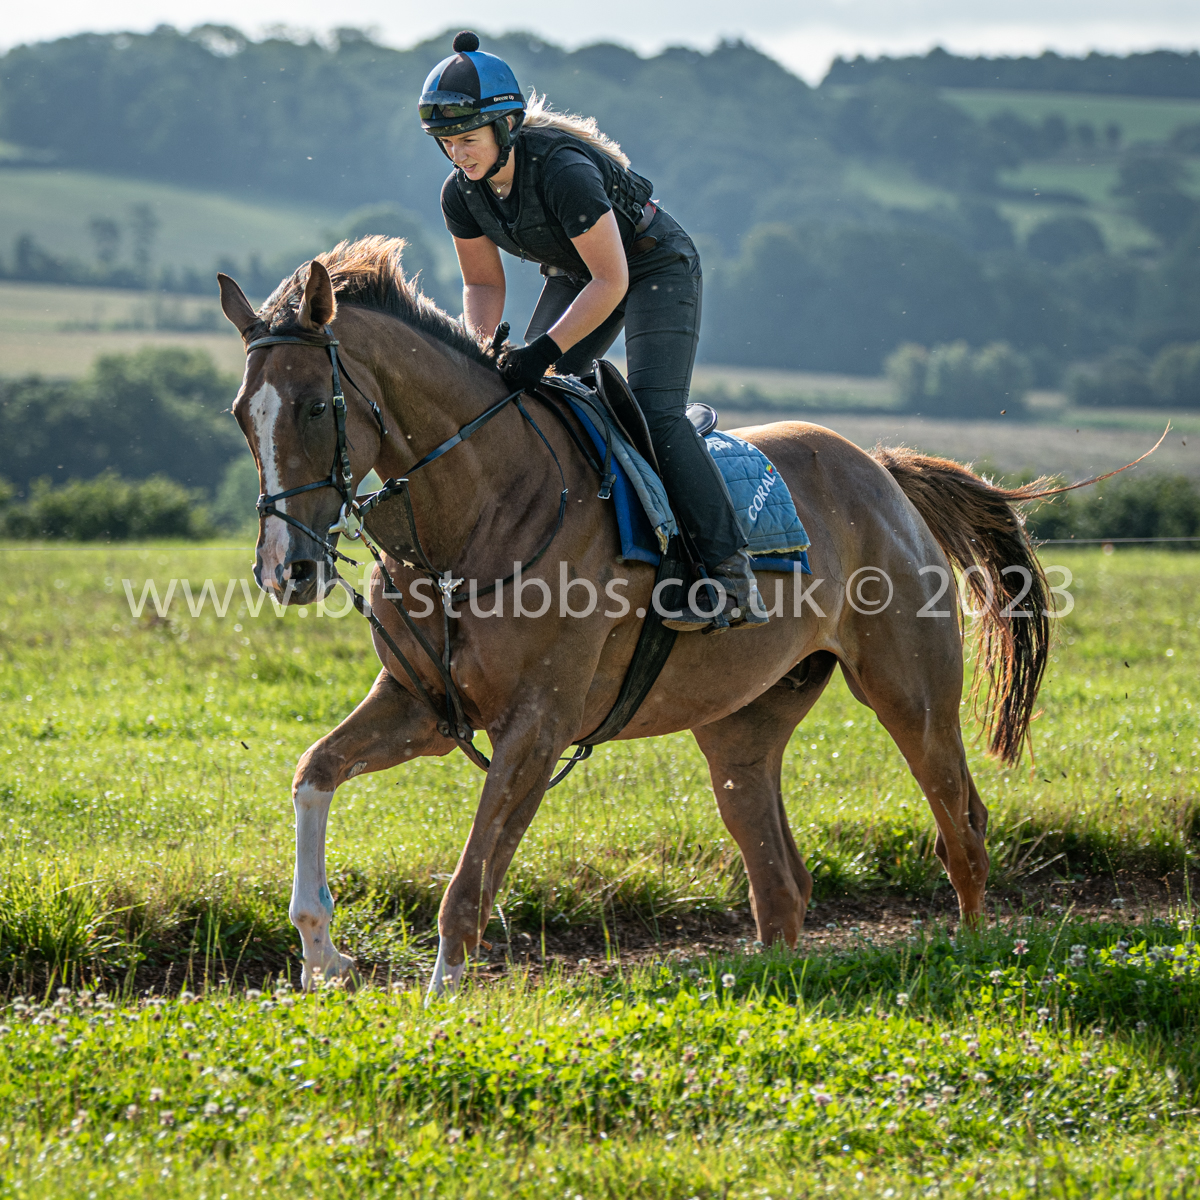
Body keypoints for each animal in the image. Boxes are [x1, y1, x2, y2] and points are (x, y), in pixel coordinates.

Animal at [218, 236, 1051, 997]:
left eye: (317, 407)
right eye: (240, 417)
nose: (285, 569)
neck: (480, 517)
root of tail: (882, 470)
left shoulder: (538, 724)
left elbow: (469, 884)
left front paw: (443, 1000)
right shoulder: (421, 707)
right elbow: (315, 771)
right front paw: (321, 951)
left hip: (912, 696)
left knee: (963, 829)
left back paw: (974, 956)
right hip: (742, 729)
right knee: (782, 881)